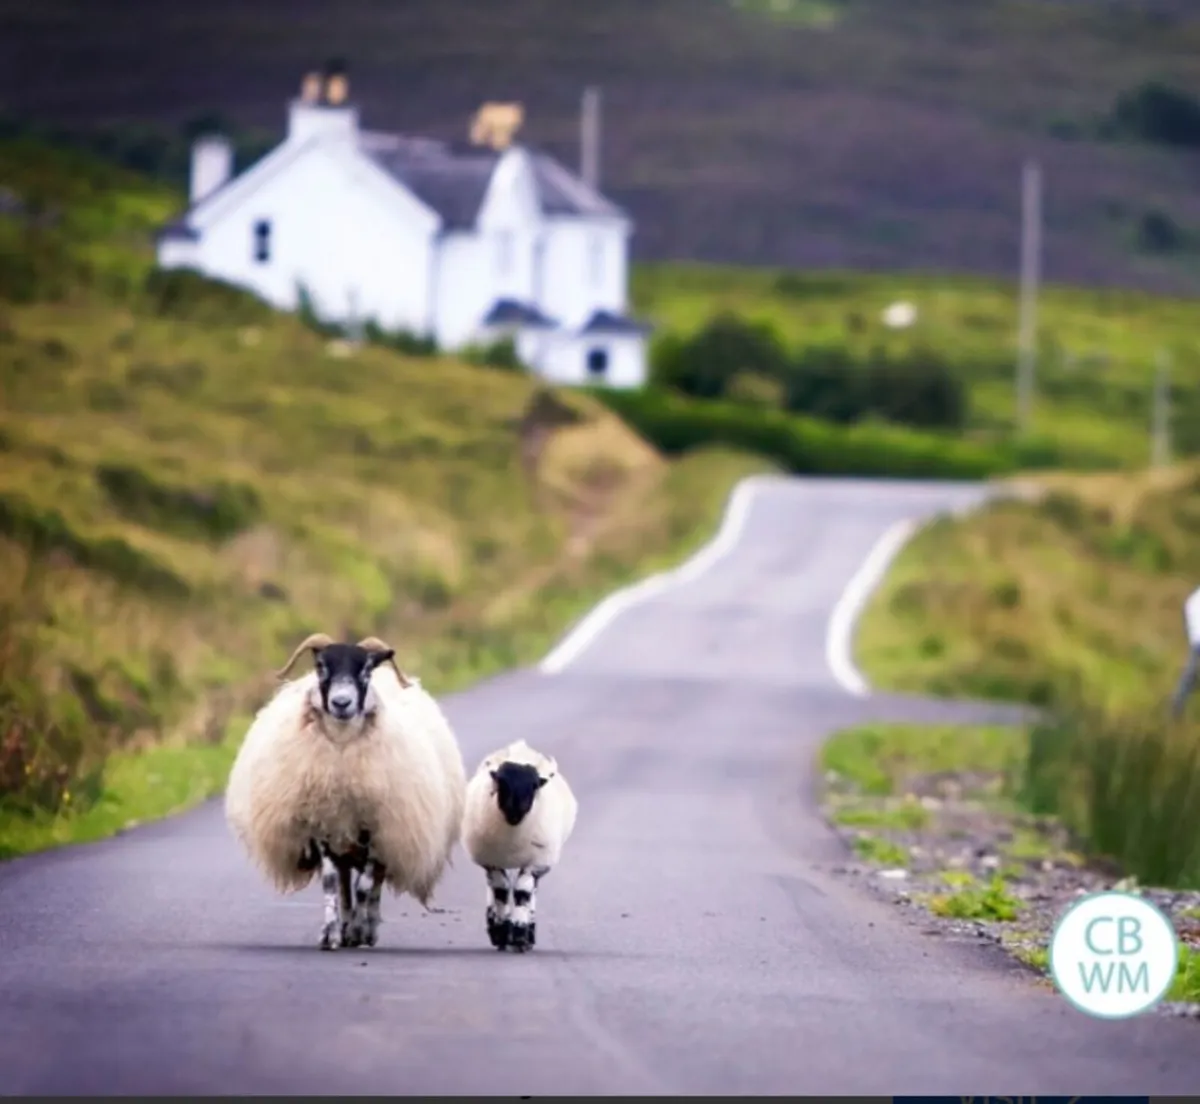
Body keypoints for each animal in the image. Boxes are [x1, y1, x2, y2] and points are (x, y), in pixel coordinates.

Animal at [223, 632, 467, 951]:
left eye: (366, 670)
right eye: (320, 666)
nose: (341, 703)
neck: (341, 755)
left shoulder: (376, 827)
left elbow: (364, 886)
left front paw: (359, 930)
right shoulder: (322, 823)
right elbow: (332, 883)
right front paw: (331, 933)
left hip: (388, 834)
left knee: (373, 883)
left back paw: (366, 927)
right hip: (344, 839)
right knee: (343, 882)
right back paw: (347, 924)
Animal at [461, 739, 577, 952]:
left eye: (534, 786)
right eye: (501, 782)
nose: (515, 810)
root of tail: (520, 748)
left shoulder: (535, 862)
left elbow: (523, 892)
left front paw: (520, 935)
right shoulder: (492, 861)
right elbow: (501, 890)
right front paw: (501, 932)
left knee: (530, 891)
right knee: (494, 886)